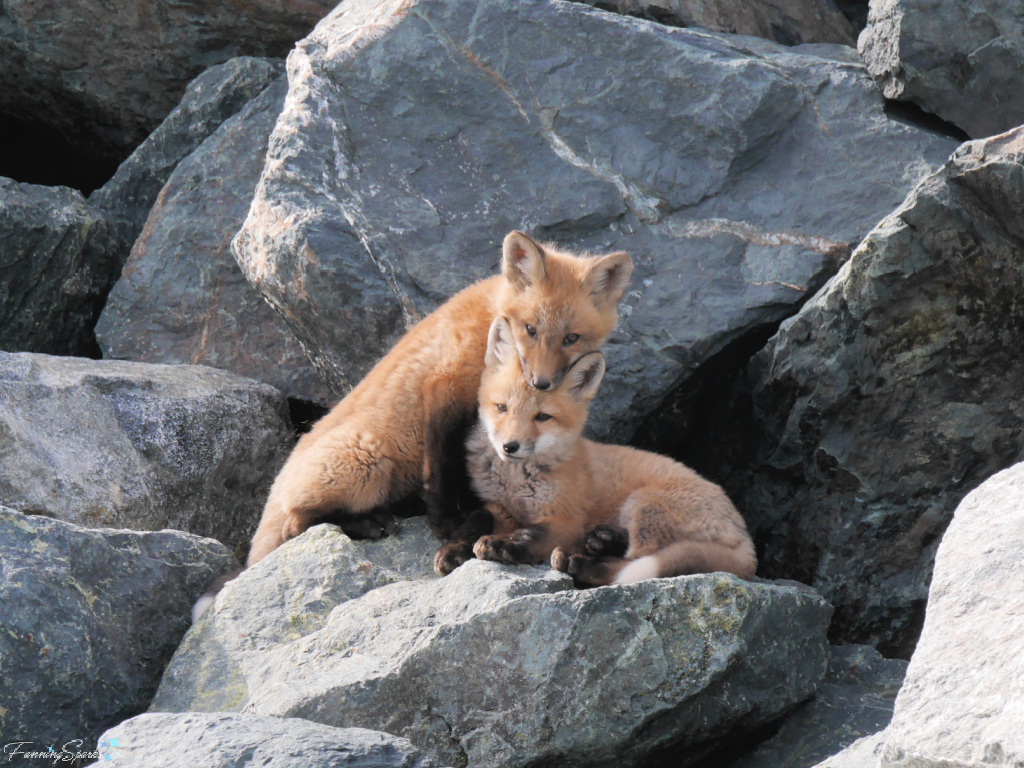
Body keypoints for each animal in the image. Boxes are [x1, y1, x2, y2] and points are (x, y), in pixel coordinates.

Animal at [434, 316, 757, 586]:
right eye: (501, 408)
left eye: (542, 417)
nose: (509, 446)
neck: (515, 481)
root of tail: (748, 543)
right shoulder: (499, 506)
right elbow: (477, 518)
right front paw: (453, 550)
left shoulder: (564, 521)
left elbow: (530, 534)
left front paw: (500, 545)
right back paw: (602, 541)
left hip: (643, 504)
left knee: (632, 563)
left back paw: (580, 562)